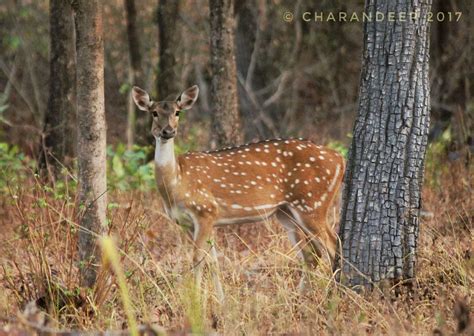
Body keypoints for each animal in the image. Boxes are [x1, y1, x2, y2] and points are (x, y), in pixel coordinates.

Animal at [133, 85, 344, 300]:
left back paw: (335, 295)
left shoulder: (206, 211)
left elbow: (198, 258)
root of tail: (339, 159)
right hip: (285, 211)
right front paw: (221, 301)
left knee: (333, 244)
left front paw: (197, 301)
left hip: (312, 202)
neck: (177, 182)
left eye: (177, 112)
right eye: (154, 112)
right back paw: (299, 298)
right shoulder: (190, 222)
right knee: (312, 254)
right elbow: (213, 261)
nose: (168, 131)